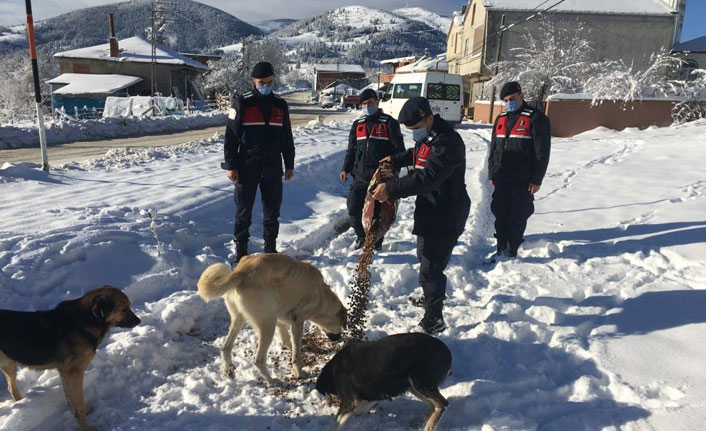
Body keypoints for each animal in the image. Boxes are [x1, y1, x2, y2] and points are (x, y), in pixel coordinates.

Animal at [0, 286, 140, 431]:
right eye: (123, 309)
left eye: (129, 306)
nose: (139, 321)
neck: (87, 319)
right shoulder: (73, 373)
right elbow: (79, 404)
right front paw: (86, 427)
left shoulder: (65, 374)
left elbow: (72, 401)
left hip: (9, 365)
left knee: (12, 387)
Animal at [197, 253, 346, 384]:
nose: (339, 338)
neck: (322, 295)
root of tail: (241, 273)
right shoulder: (298, 321)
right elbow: (296, 353)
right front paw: (299, 373)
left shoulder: (279, 317)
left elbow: (286, 336)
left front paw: (289, 345)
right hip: (267, 327)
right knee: (258, 360)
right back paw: (272, 381)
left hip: (239, 320)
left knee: (225, 348)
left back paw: (228, 371)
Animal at [314, 334, 452, 431]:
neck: (333, 372)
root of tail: (447, 352)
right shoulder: (373, 394)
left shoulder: (351, 400)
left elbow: (336, 423)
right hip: (412, 386)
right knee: (432, 405)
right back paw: (417, 422)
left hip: (420, 383)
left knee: (442, 404)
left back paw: (429, 426)